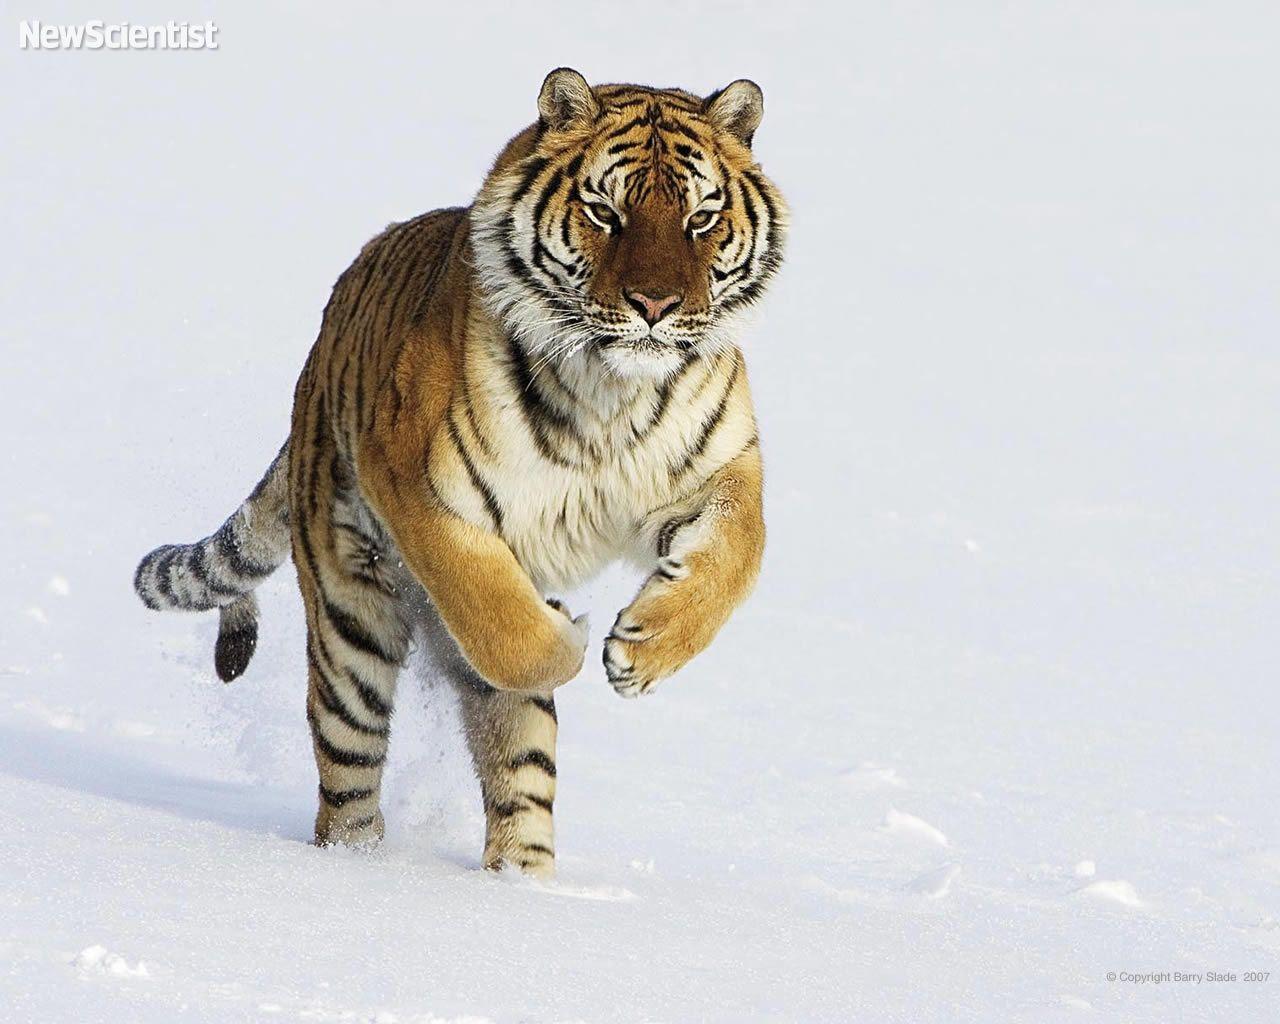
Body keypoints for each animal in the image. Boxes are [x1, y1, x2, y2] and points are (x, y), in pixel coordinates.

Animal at [134, 68, 787, 877]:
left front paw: (642, 650)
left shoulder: (720, 473)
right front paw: (568, 637)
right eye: (605, 212)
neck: (612, 391)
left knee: (518, 772)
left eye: (701, 218)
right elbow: (500, 621)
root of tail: (312, 379)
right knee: (348, 777)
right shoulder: (417, 486)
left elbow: (732, 560)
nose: (656, 306)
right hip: (350, 621)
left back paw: (523, 885)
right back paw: (354, 867)